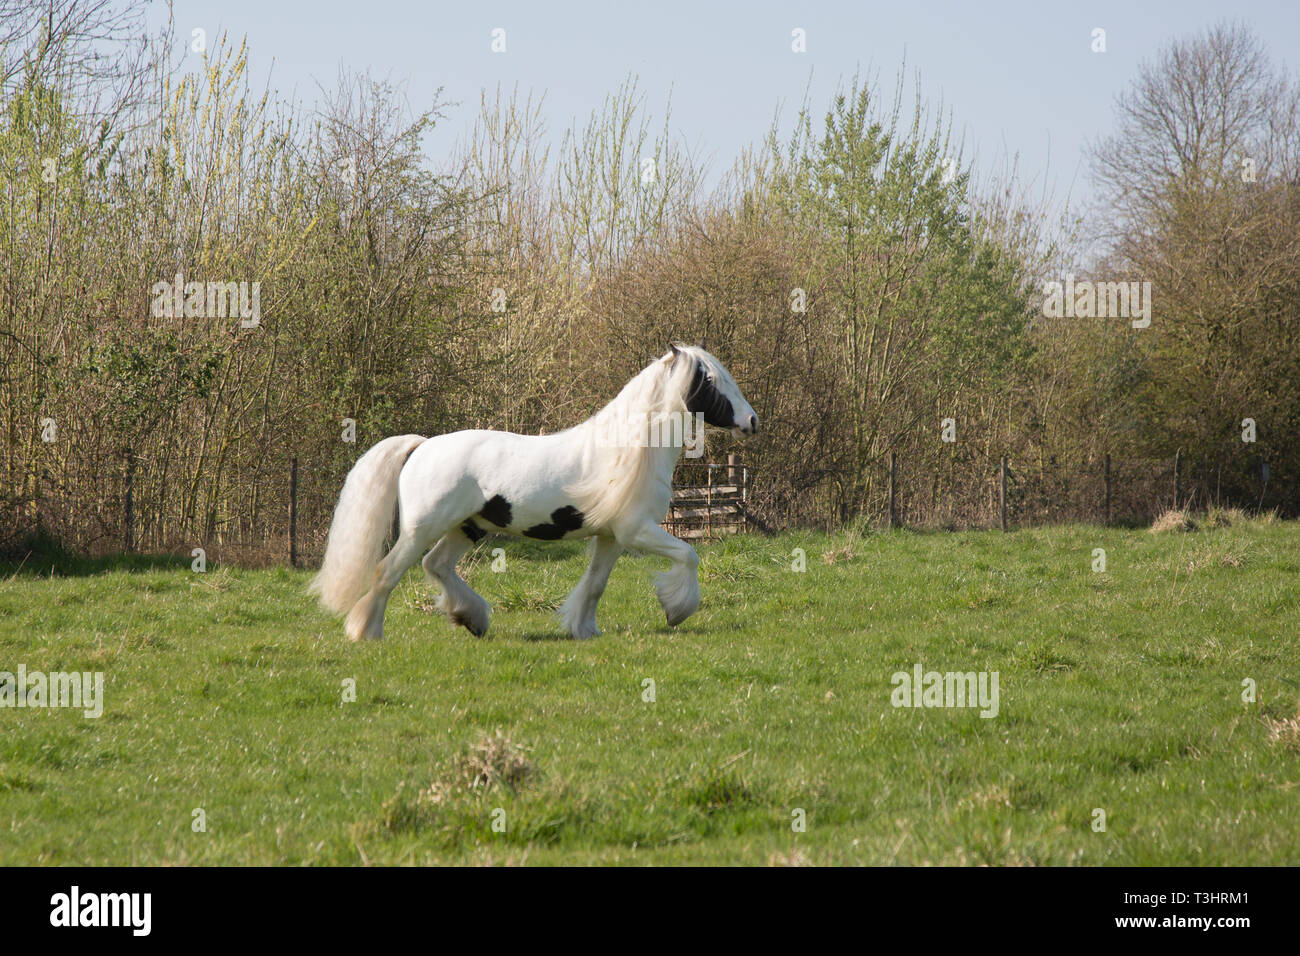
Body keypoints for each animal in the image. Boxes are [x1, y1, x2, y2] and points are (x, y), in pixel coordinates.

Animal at [309, 344, 758, 641]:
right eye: (712, 381)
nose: (752, 421)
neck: (628, 452)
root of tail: (422, 445)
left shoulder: (612, 537)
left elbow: (595, 585)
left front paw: (584, 630)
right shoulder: (637, 530)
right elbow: (689, 555)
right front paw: (677, 610)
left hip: (467, 528)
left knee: (436, 566)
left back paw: (472, 618)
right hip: (422, 529)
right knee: (387, 572)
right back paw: (367, 632)